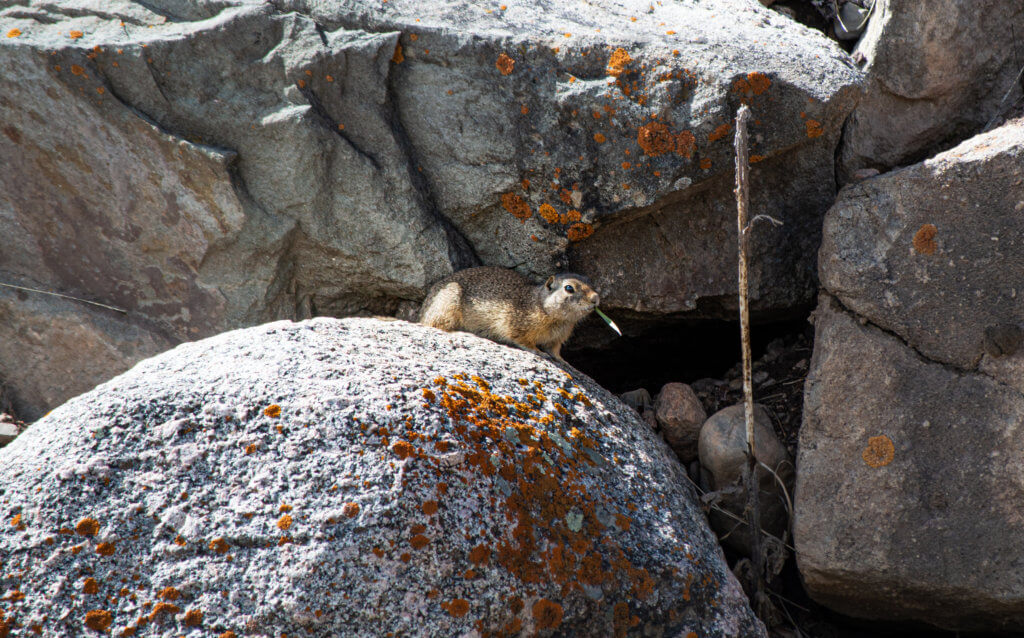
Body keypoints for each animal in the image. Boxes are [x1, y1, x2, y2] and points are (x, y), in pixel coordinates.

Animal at [418, 266, 600, 362]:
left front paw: (563, 361)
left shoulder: (557, 340)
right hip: (448, 304)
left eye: (590, 281)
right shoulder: (516, 325)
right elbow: (524, 341)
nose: (596, 299)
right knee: (437, 325)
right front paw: (539, 352)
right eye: (569, 288)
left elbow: (554, 350)